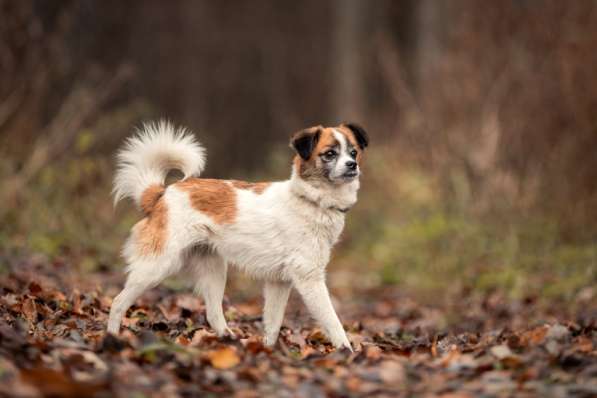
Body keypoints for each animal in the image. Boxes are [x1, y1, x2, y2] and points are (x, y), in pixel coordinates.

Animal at [107, 119, 368, 350]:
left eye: (353, 152)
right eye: (330, 154)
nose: (352, 165)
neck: (310, 199)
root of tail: (163, 193)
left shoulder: (279, 282)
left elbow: (273, 324)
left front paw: (268, 351)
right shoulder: (309, 279)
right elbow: (333, 321)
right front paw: (347, 351)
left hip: (214, 270)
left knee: (213, 314)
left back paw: (230, 341)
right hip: (158, 266)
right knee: (118, 302)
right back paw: (112, 338)